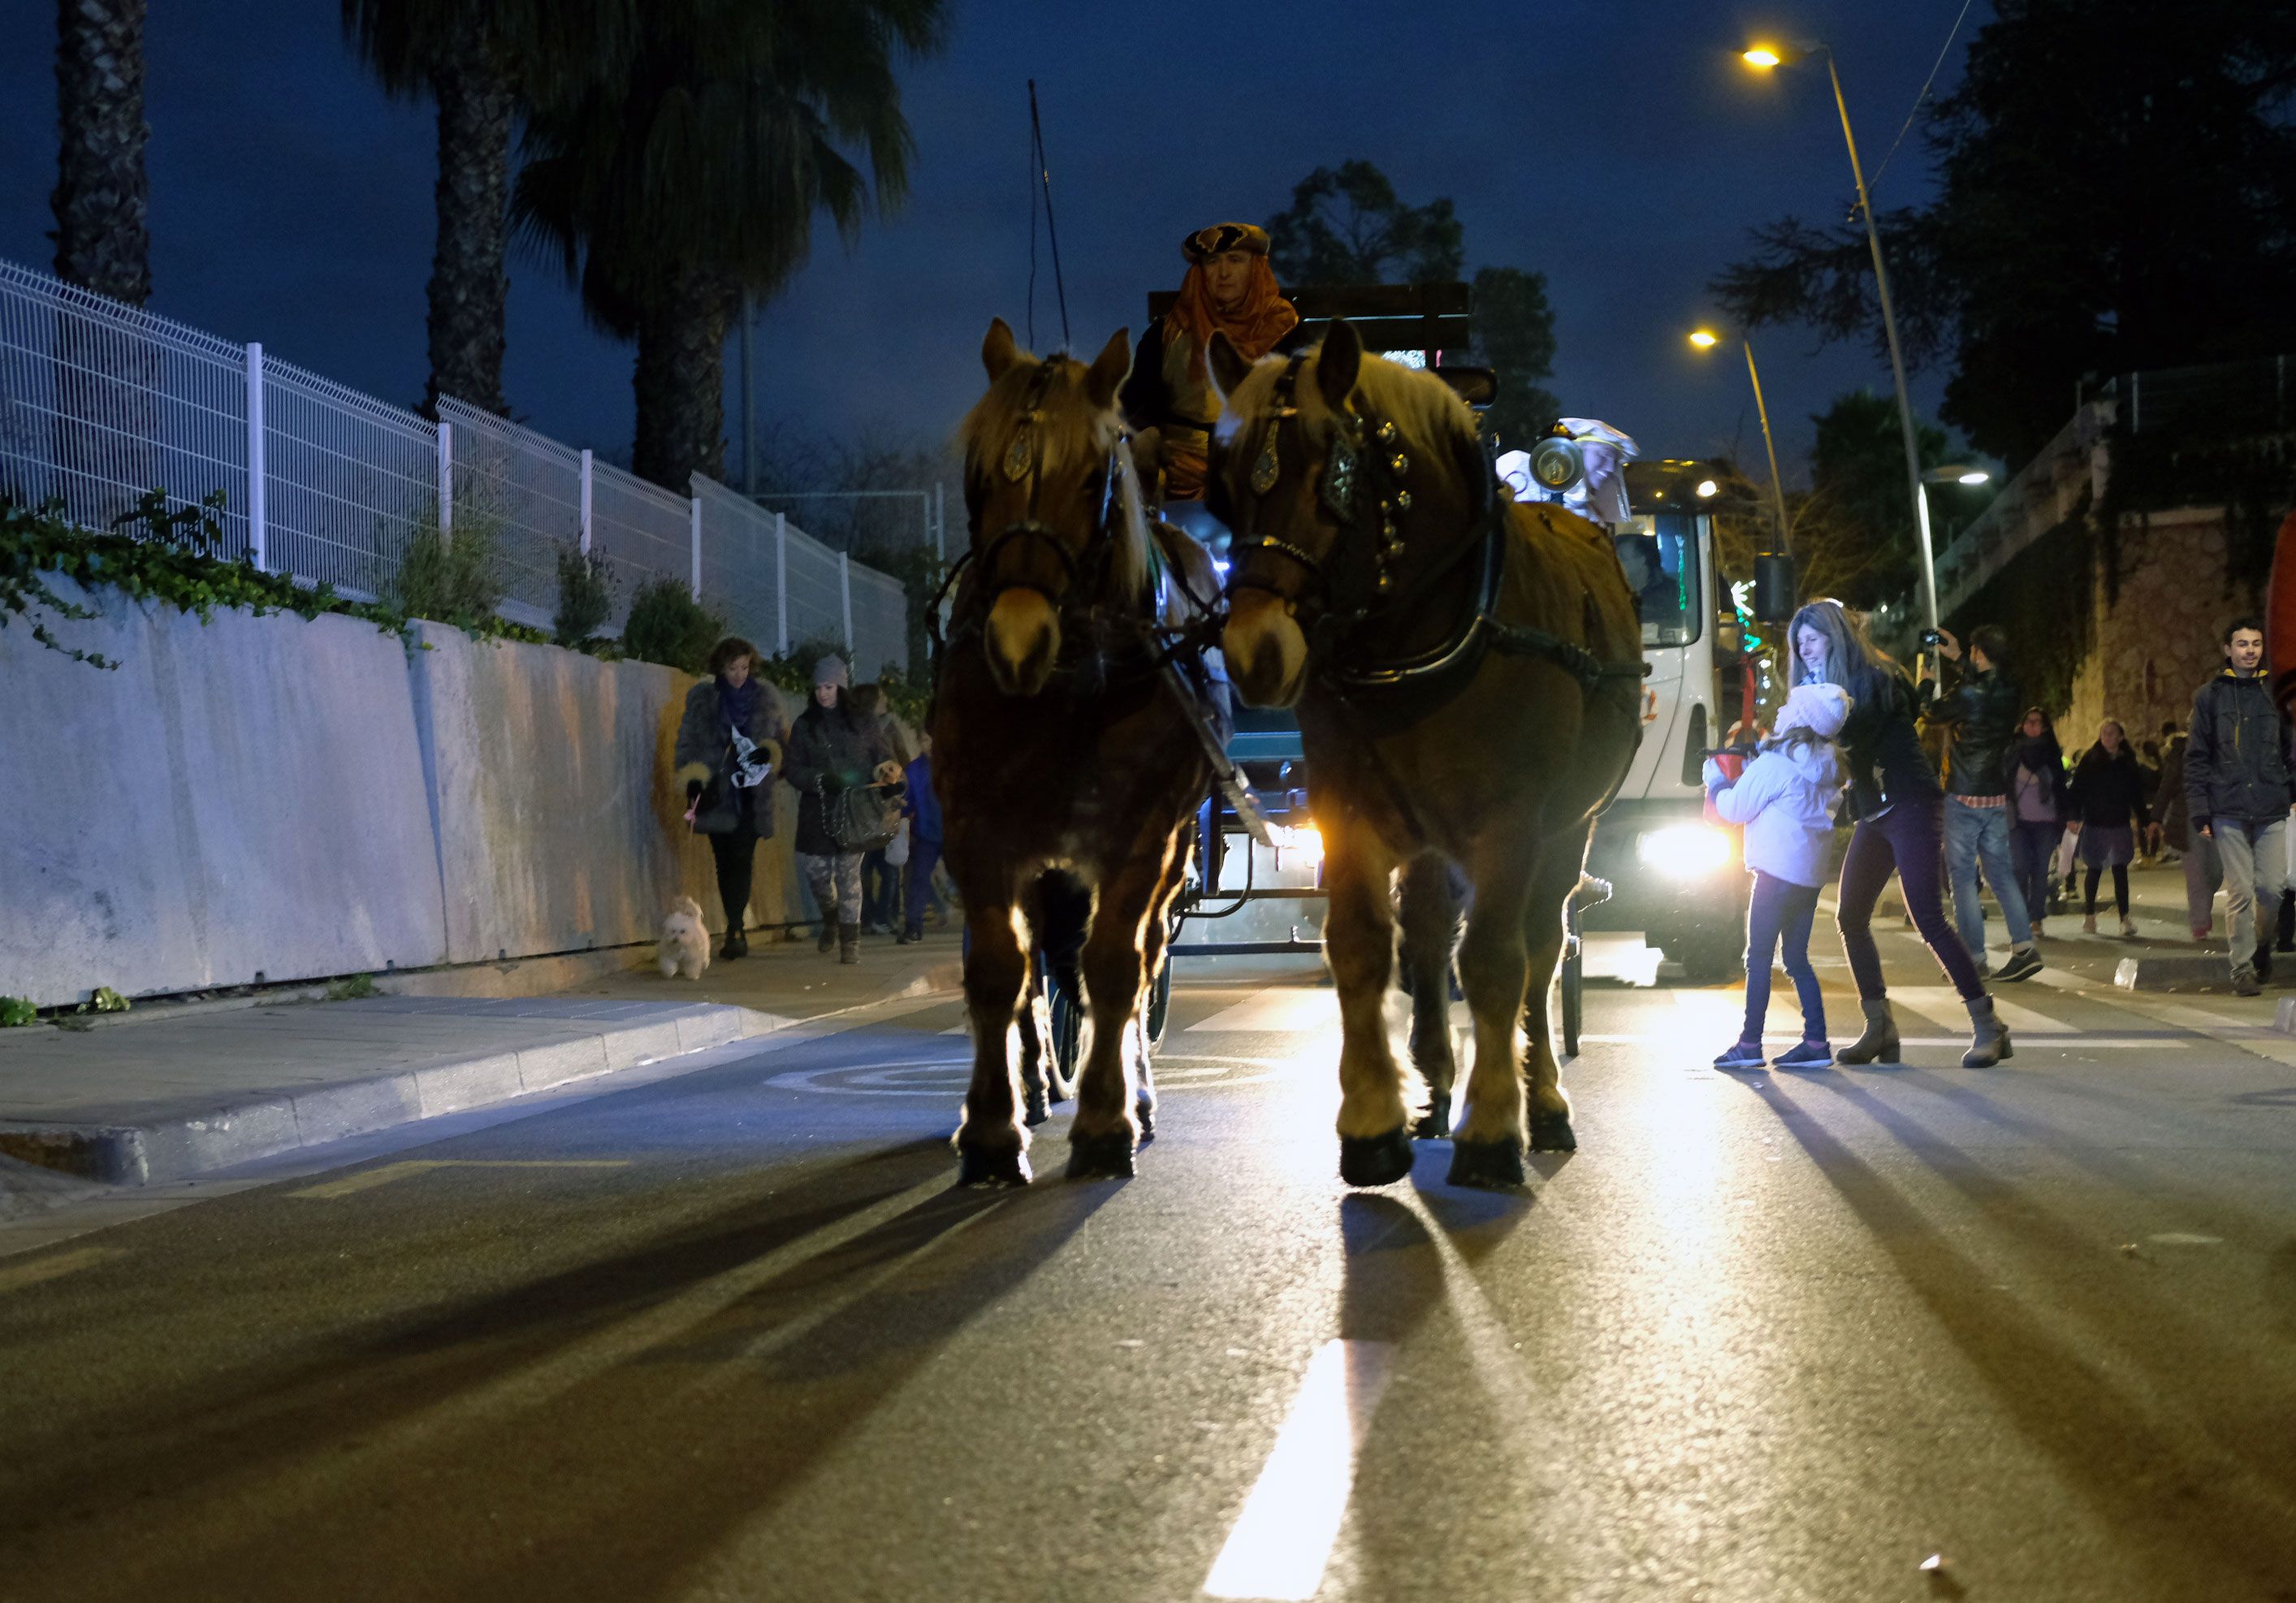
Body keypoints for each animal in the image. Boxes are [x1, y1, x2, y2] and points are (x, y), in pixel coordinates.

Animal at [927, 319, 1221, 1175]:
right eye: (979, 474)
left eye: (1094, 477)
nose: (1016, 642)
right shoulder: (977, 827)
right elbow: (999, 971)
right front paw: (993, 1130)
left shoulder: (1140, 835)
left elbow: (1115, 967)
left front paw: (1106, 1118)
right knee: (1039, 969)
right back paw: (1034, 1084)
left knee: (1140, 958)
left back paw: (1136, 1094)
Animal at [1212, 319, 1644, 1185]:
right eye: (1228, 478)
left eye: (1334, 470)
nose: (1254, 650)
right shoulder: (1350, 812)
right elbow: (1362, 949)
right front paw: (1373, 1122)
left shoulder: (1510, 824)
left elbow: (1496, 963)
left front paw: (1494, 1129)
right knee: (1430, 936)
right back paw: (1437, 1087)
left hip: (1566, 829)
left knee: (1540, 946)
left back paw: (1543, 1102)